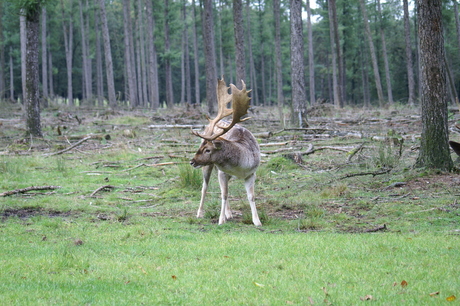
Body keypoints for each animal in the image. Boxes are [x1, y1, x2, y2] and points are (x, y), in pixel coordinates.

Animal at [190, 77, 262, 226]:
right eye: (201, 148)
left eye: (207, 150)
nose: (192, 161)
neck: (240, 168)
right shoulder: (222, 172)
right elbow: (224, 194)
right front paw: (220, 220)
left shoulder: (251, 173)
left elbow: (251, 196)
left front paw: (257, 221)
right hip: (208, 167)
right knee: (204, 187)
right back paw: (200, 213)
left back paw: (229, 213)